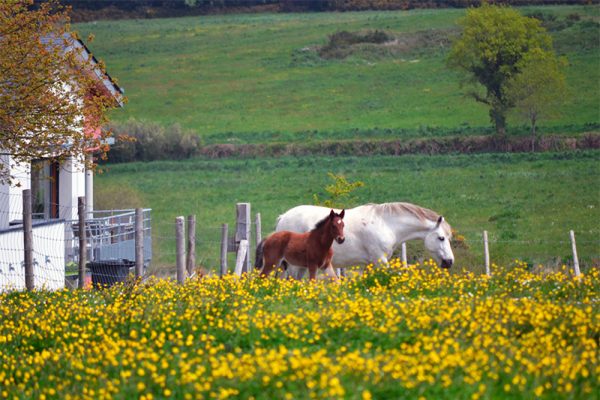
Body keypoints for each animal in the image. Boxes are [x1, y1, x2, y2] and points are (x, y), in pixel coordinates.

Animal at [268, 202, 454, 280]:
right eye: (441, 238)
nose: (449, 261)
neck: (386, 223)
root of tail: (283, 217)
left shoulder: (371, 263)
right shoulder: (380, 260)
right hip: (294, 266)